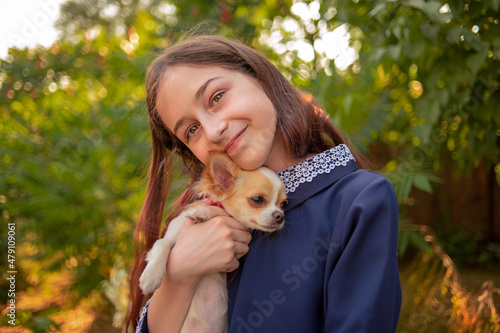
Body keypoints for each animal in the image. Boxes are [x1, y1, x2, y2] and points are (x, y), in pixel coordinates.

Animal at [139, 153, 288, 332]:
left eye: (284, 204)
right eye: (258, 200)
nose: (280, 216)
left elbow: (216, 210)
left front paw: (203, 212)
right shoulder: (170, 236)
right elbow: (162, 245)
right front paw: (151, 276)